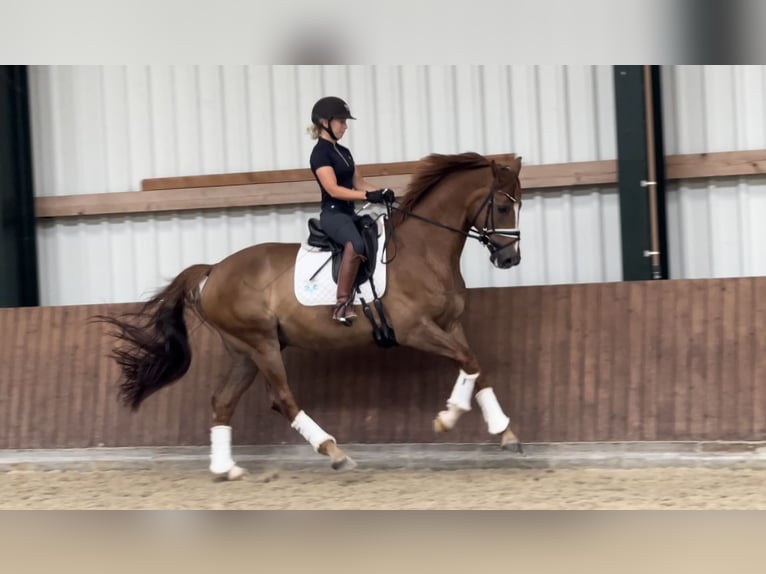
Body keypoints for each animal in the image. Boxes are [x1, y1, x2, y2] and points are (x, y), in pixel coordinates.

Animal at [99, 151, 524, 480]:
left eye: (519, 205)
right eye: (503, 206)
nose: (509, 259)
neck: (424, 249)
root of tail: (213, 270)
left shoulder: (451, 324)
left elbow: (475, 366)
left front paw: (504, 432)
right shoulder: (415, 329)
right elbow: (468, 362)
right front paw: (449, 417)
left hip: (244, 351)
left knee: (222, 401)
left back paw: (226, 469)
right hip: (262, 344)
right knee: (282, 398)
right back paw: (335, 452)